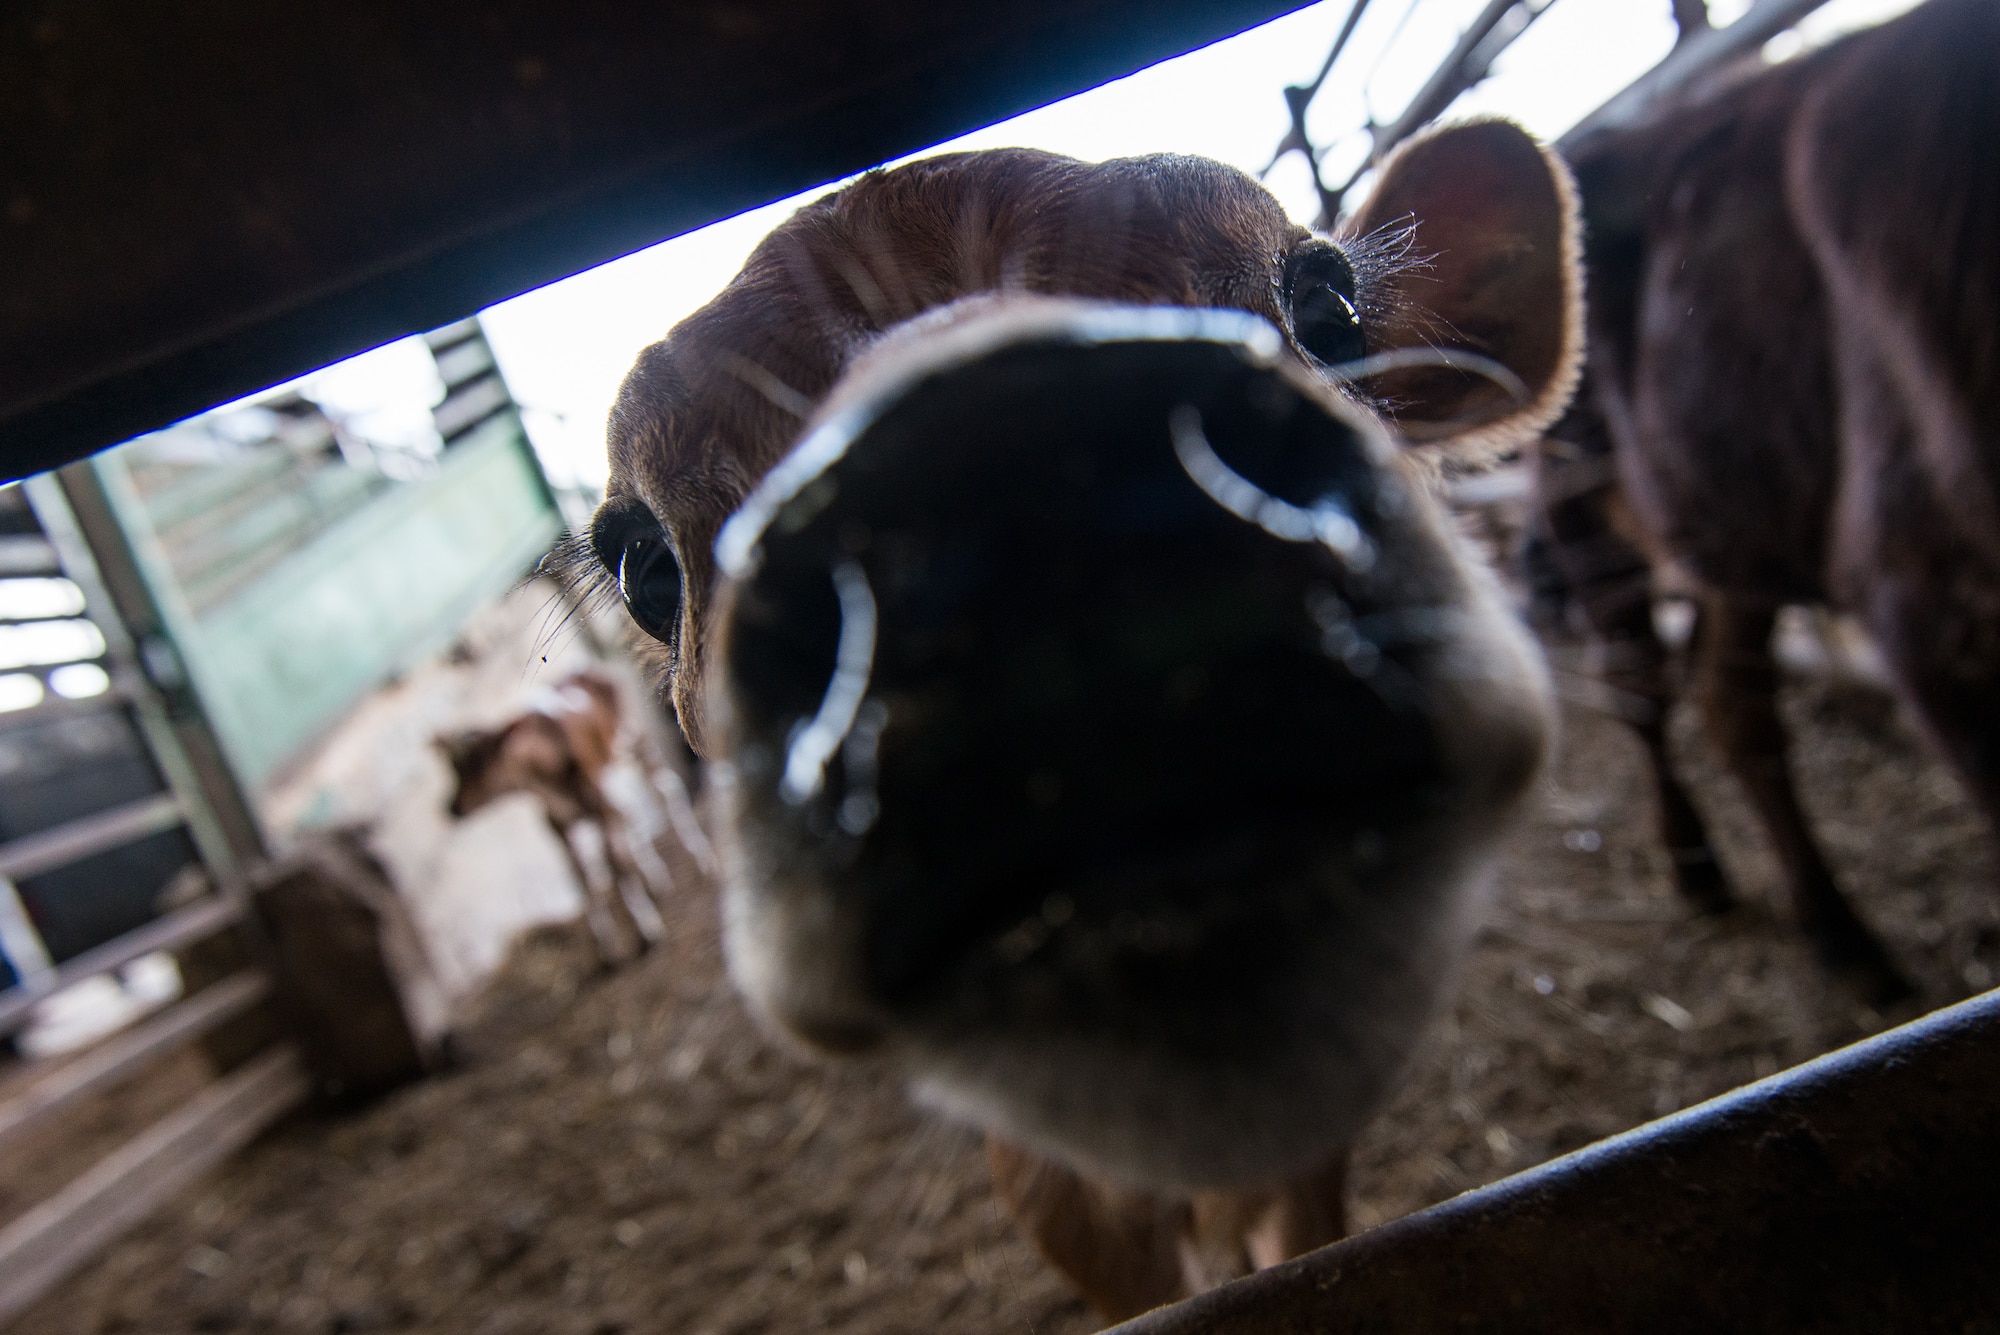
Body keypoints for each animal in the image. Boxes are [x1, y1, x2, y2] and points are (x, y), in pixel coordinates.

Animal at [1536, 0, 1992, 999]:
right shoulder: (1929, 599)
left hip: (1725, 521)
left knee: (1729, 698)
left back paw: (1837, 929)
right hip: (1584, 518)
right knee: (1640, 688)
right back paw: (1698, 866)